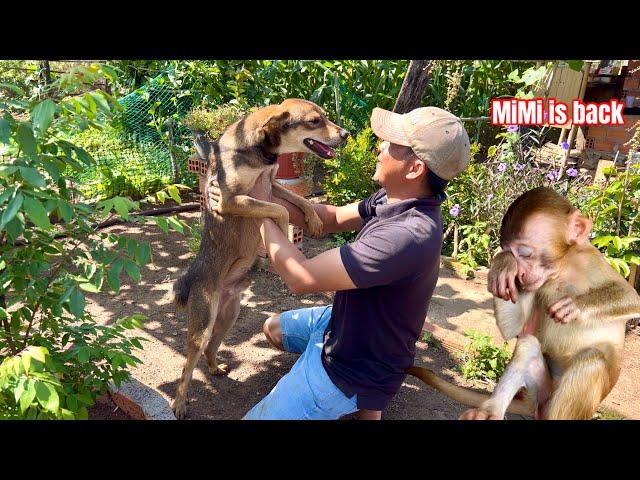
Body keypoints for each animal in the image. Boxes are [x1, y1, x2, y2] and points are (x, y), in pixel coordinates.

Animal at [171, 97, 350, 416]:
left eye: (325, 117)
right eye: (314, 121)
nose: (346, 135)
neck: (259, 150)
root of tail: (194, 279)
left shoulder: (273, 185)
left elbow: (300, 199)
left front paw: (315, 220)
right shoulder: (232, 199)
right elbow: (279, 211)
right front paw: (285, 236)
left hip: (228, 317)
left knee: (209, 350)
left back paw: (215, 368)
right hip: (202, 326)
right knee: (187, 367)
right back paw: (179, 403)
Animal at [410, 188, 640, 420]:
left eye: (525, 253)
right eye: (512, 252)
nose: (519, 273)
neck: (562, 270)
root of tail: (536, 405)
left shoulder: (590, 260)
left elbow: (632, 297)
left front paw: (574, 305)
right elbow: (516, 329)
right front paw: (503, 264)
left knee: (591, 361)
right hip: (541, 390)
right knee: (528, 344)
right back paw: (489, 411)